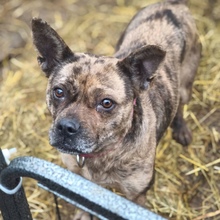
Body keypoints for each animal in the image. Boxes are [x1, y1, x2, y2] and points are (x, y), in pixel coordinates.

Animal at [31, 0, 201, 218]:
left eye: (106, 103)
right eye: (58, 92)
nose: (66, 128)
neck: (102, 153)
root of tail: (171, 4)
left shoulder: (136, 198)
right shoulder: (77, 181)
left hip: (185, 85)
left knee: (180, 105)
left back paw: (181, 129)